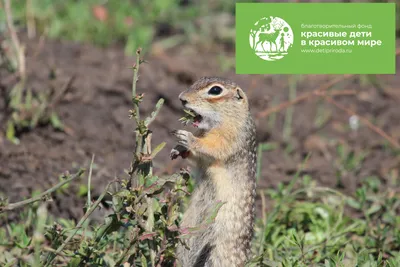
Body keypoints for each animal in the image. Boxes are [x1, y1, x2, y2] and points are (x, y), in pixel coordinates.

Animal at [169, 77, 256, 267]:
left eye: (215, 90)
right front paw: (178, 149)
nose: (181, 98)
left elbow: (213, 146)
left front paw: (188, 138)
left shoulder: (230, 135)